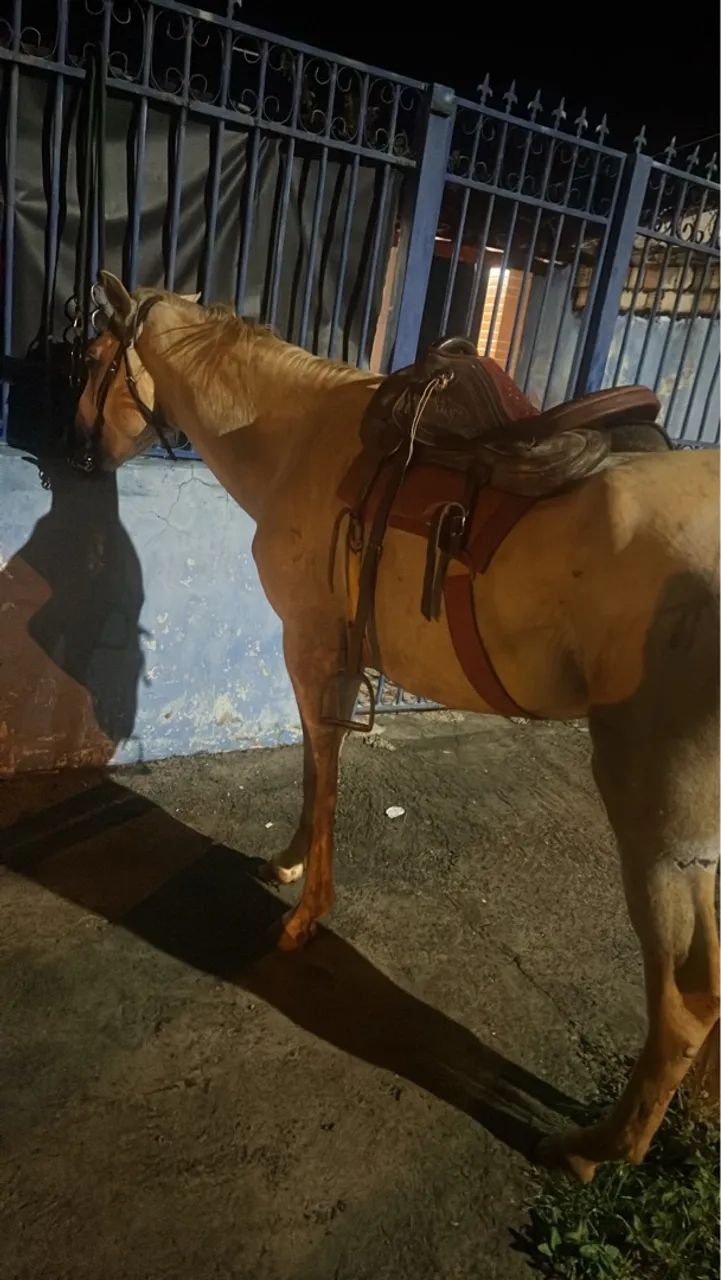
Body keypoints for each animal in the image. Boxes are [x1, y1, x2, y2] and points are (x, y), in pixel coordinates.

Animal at [73, 271, 719, 1183]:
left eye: (93, 357)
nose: (77, 450)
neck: (293, 432)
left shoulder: (309, 644)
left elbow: (323, 765)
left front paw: (305, 916)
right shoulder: (329, 650)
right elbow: (315, 769)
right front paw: (286, 862)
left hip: (658, 812)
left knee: (687, 998)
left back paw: (595, 1149)